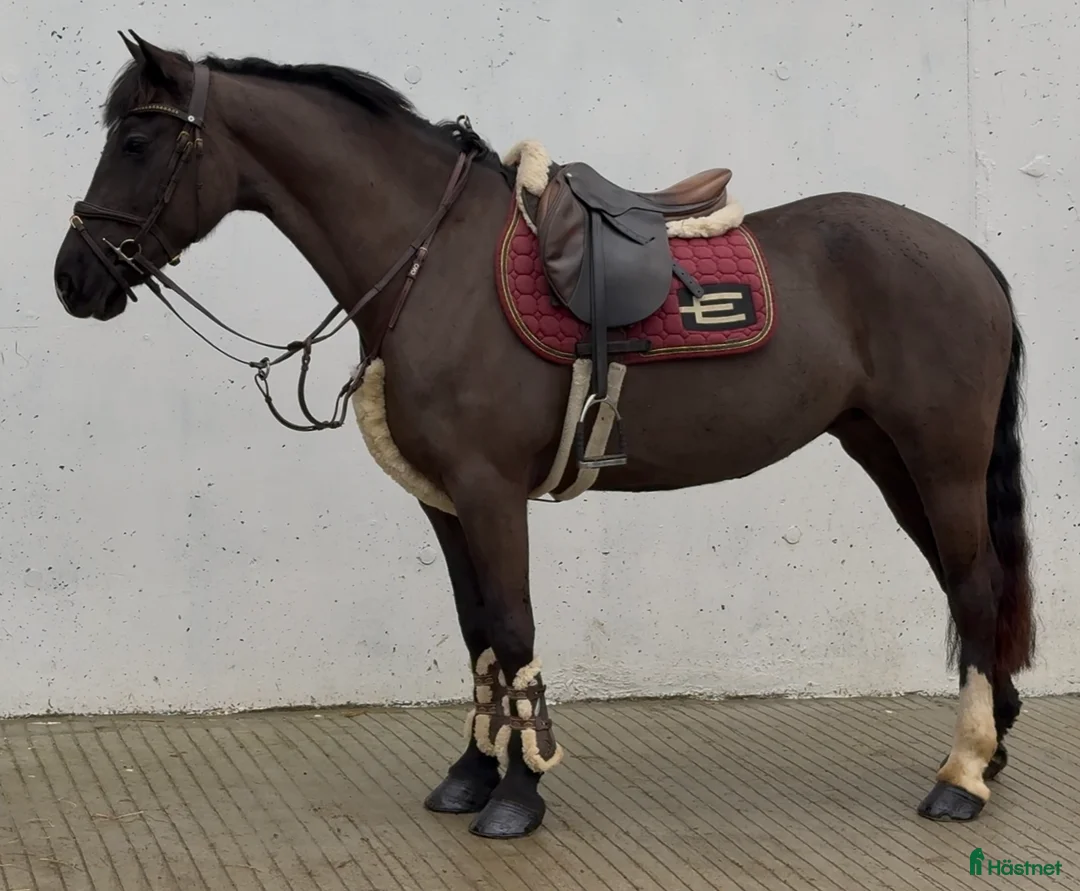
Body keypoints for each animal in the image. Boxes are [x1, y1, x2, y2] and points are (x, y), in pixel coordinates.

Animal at [52, 32, 1036, 840]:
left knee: (976, 586)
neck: (433, 261)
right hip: (888, 454)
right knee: (967, 587)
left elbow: (515, 625)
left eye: (135, 143)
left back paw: (960, 776)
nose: (72, 278)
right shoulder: (445, 501)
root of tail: (971, 256)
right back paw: (990, 748)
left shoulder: (490, 489)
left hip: (942, 461)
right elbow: (478, 628)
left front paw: (519, 793)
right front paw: (472, 772)